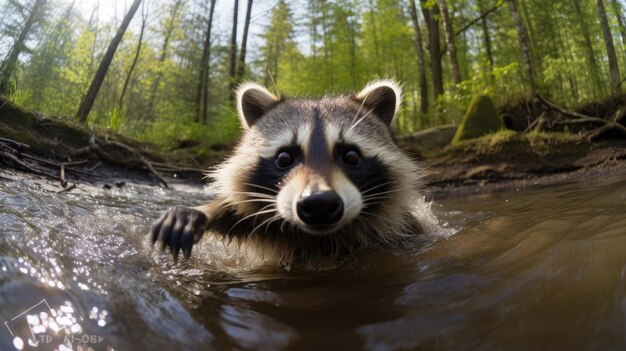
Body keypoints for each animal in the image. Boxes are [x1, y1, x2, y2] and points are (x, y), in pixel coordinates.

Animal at [151, 80, 424, 264]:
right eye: (284, 158)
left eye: (351, 156)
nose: (319, 204)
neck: (316, 239)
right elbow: (236, 212)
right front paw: (202, 212)